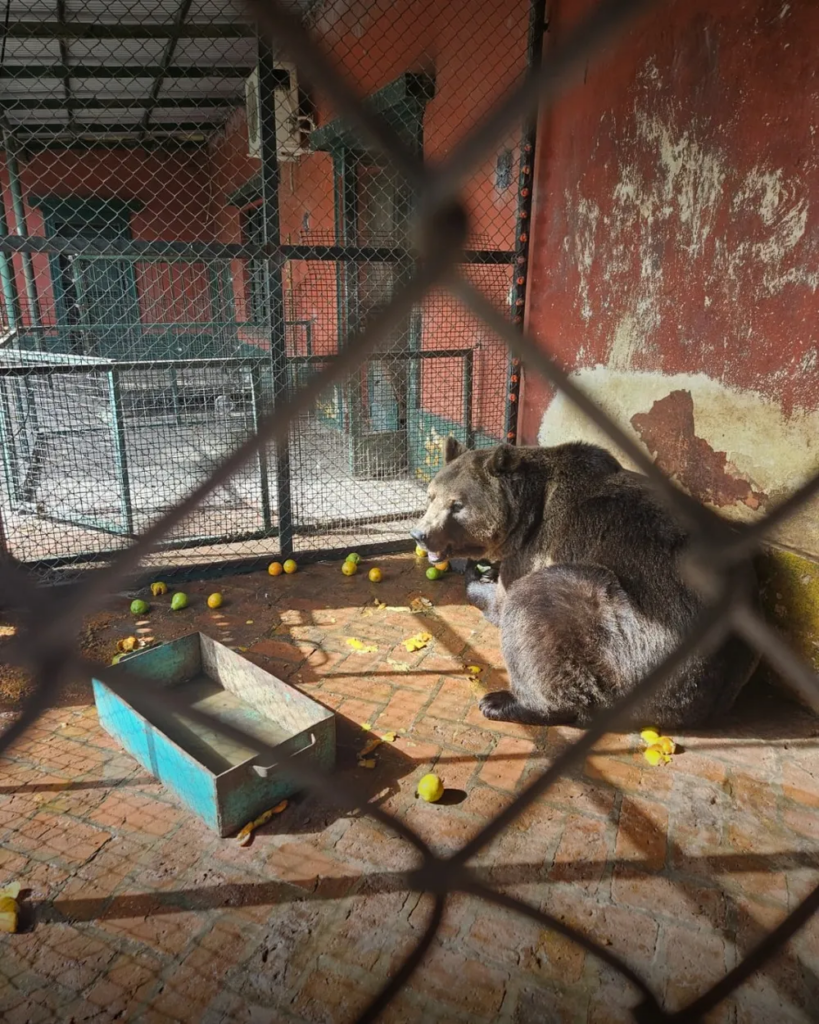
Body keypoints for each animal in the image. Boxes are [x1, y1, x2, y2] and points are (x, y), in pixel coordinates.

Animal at [410, 437, 760, 729]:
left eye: (457, 505)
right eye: (430, 496)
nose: (420, 534)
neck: (526, 514)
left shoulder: (534, 549)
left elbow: (503, 601)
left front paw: (476, 576)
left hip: (630, 637)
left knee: (537, 605)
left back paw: (504, 702)